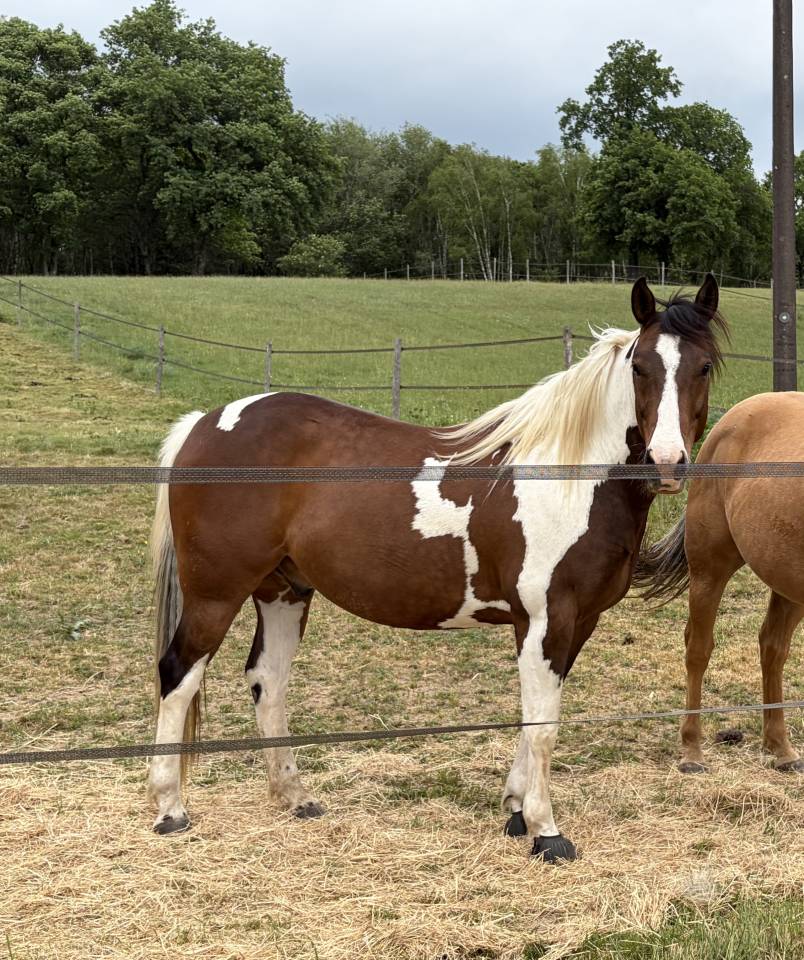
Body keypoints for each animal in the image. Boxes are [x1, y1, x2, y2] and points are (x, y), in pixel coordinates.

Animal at [147, 275, 727, 862]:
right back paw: (171, 809)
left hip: (283, 590)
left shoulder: (576, 622)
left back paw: (295, 797)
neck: (568, 476)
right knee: (179, 674)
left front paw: (516, 810)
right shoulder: (546, 619)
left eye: (703, 366)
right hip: (216, 593)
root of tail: (204, 425)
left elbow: (534, 717)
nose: (667, 463)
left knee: (268, 679)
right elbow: (543, 724)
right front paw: (546, 831)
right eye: (640, 367)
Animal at [635, 392, 804, 775]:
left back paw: (781, 748)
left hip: (784, 579)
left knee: (772, 647)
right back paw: (692, 751)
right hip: (709, 571)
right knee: (698, 648)